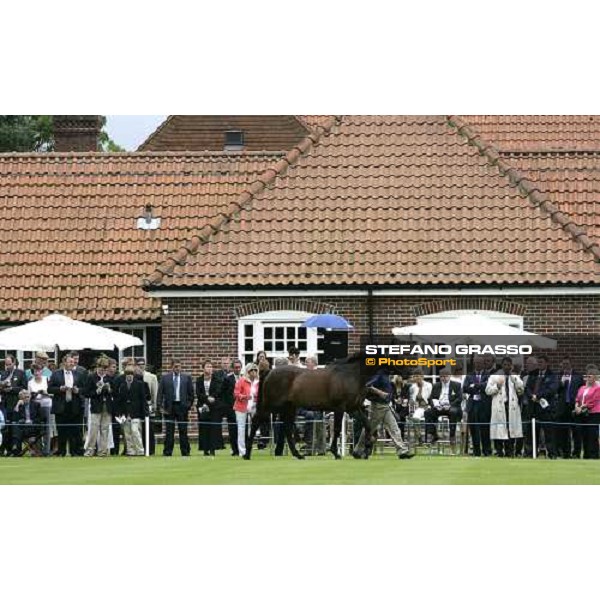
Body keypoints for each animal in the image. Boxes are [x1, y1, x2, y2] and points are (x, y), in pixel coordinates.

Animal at [241, 354, 400, 462]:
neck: (350, 375)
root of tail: (269, 372)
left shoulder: (353, 408)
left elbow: (368, 425)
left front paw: (365, 450)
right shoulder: (340, 408)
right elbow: (337, 429)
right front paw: (336, 452)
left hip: (289, 408)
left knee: (287, 428)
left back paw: (298, 455)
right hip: (270, 405)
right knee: (256, 422)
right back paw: (247, 453)